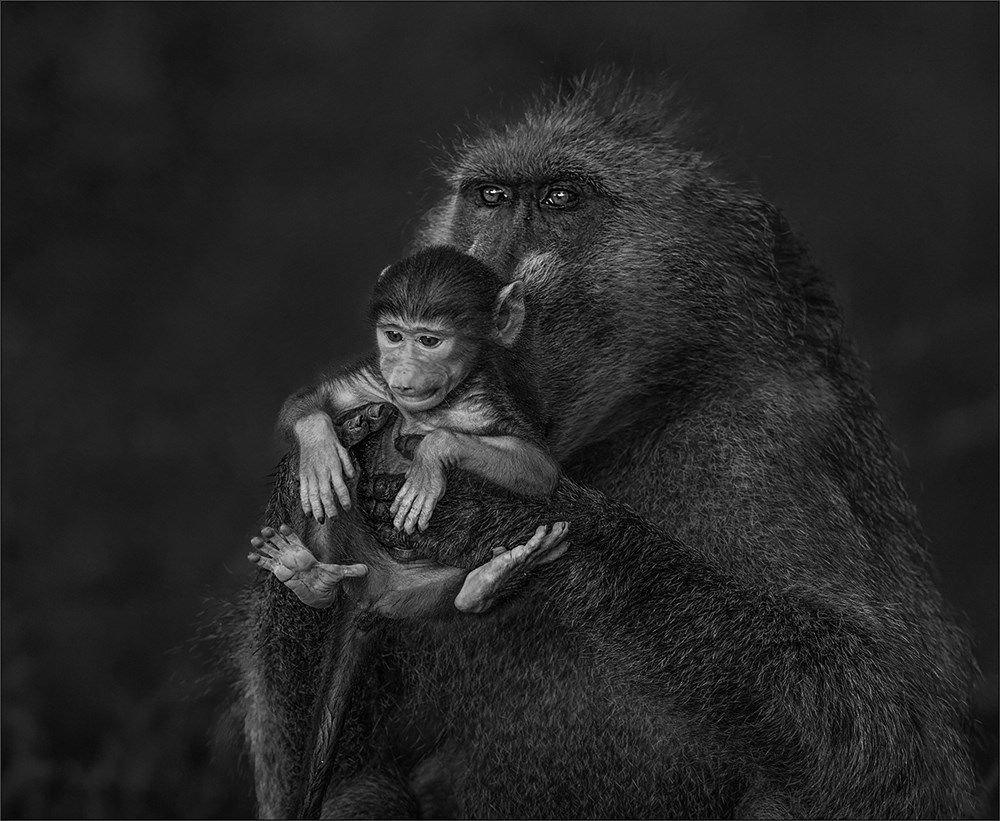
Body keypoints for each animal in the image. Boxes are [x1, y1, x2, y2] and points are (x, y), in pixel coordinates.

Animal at [276, 245, 559, 535]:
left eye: (428, 341)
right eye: (394, 336)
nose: (403, 377)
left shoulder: (485, 401)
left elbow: (539, 468)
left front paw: (431, 454)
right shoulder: (376, 380)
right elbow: (315, 398)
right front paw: (320, 451)